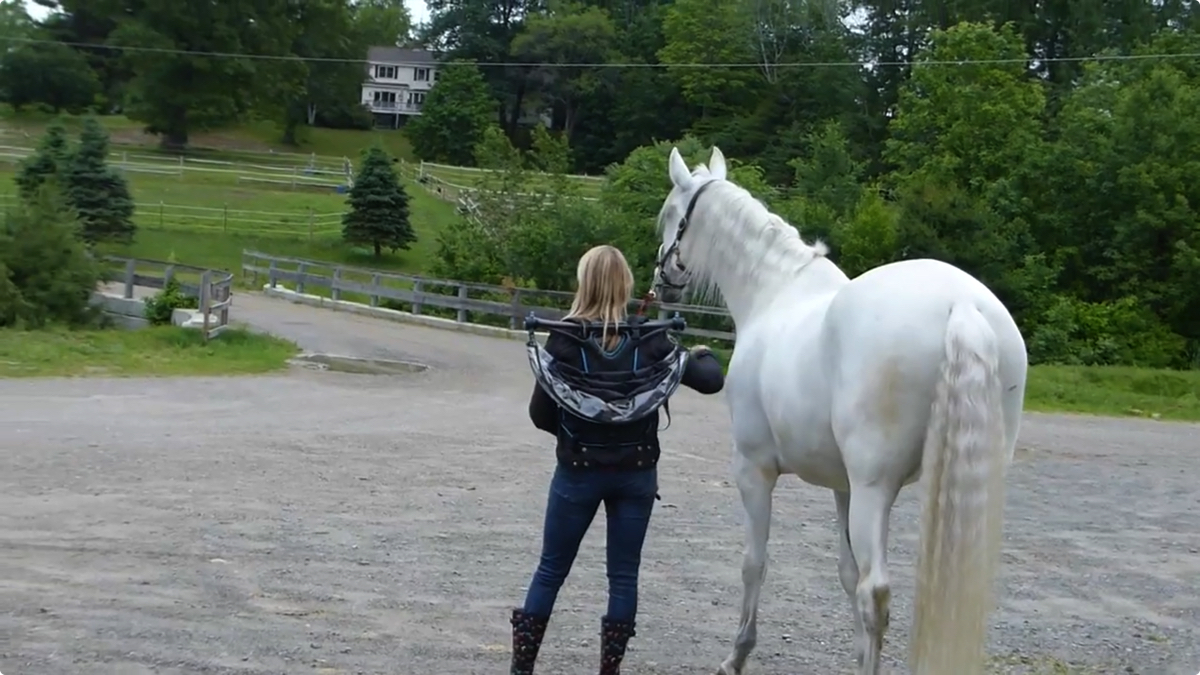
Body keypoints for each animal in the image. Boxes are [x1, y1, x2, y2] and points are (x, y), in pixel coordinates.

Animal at [652, 147, 1028, 675]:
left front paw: (736, 655)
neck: (776, 292)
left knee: (876, 594)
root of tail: (963, 307)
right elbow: (846, 571)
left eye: (670, 215)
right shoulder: (842, 486)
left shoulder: (754, 470)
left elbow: (754, 562)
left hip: (876, 488)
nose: (661, 282)